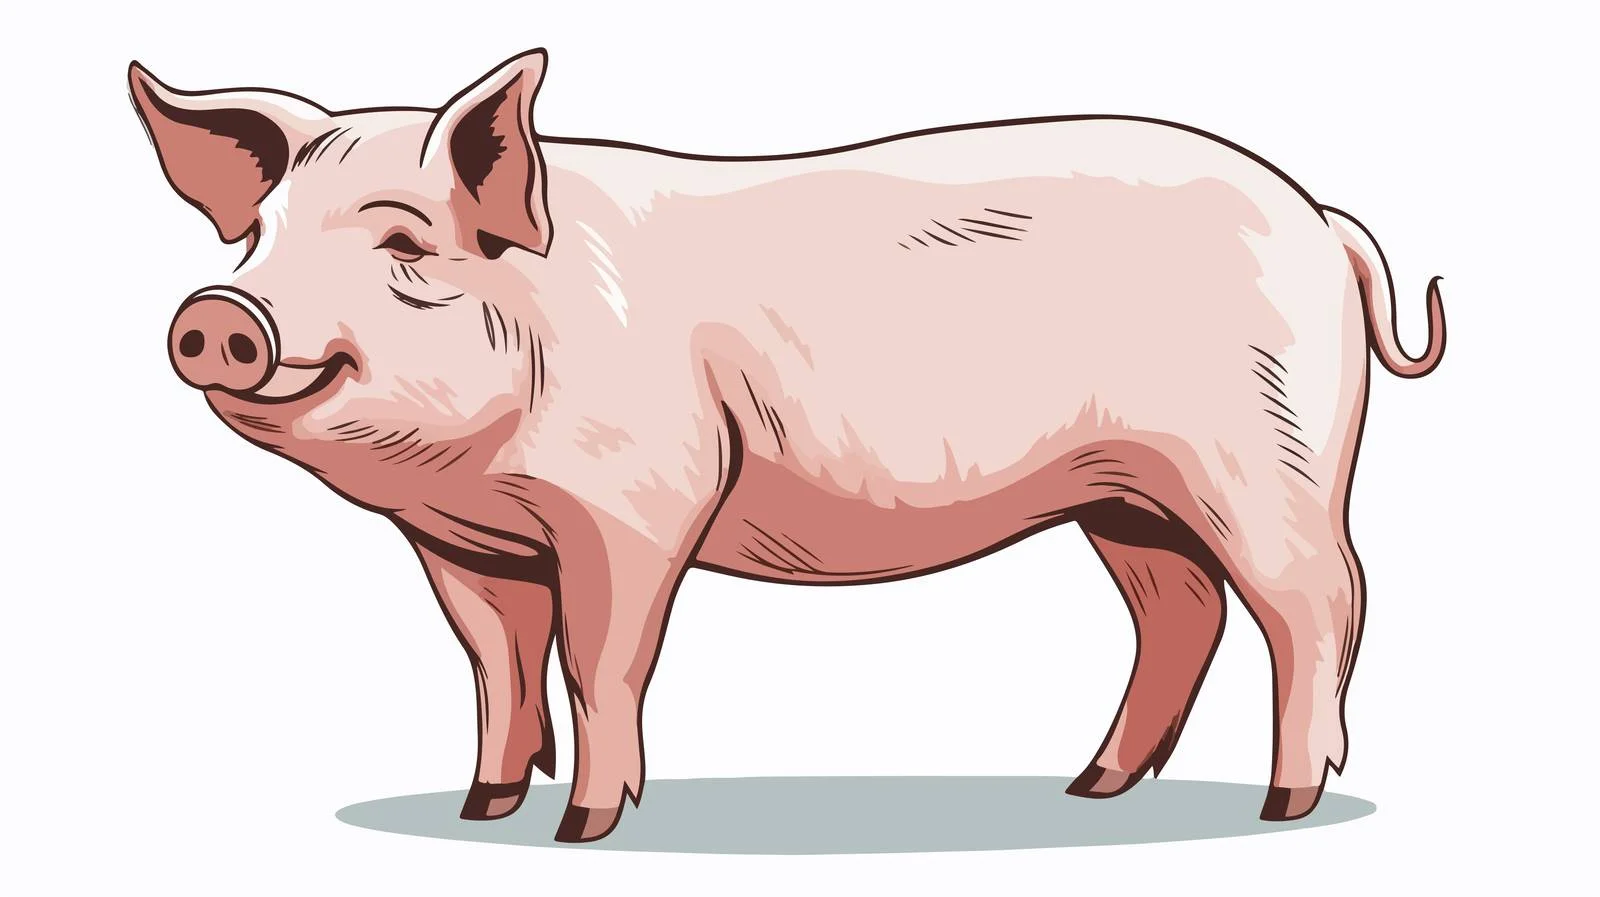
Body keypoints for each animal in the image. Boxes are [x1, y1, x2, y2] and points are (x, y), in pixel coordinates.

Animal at [129, 48, 1445, 843]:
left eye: (403, 243)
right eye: (258, 236)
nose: (216, 315)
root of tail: (1321, 217)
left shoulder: (638, 504)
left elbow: (601, 663)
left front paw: (586, 830)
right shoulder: (462, 547)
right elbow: (496, 667)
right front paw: (481, 810)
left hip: (1267, 461)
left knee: (1321, 598)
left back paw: (1282, 806)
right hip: (1122, 495)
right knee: (1182, 609)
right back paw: (1092, 786)